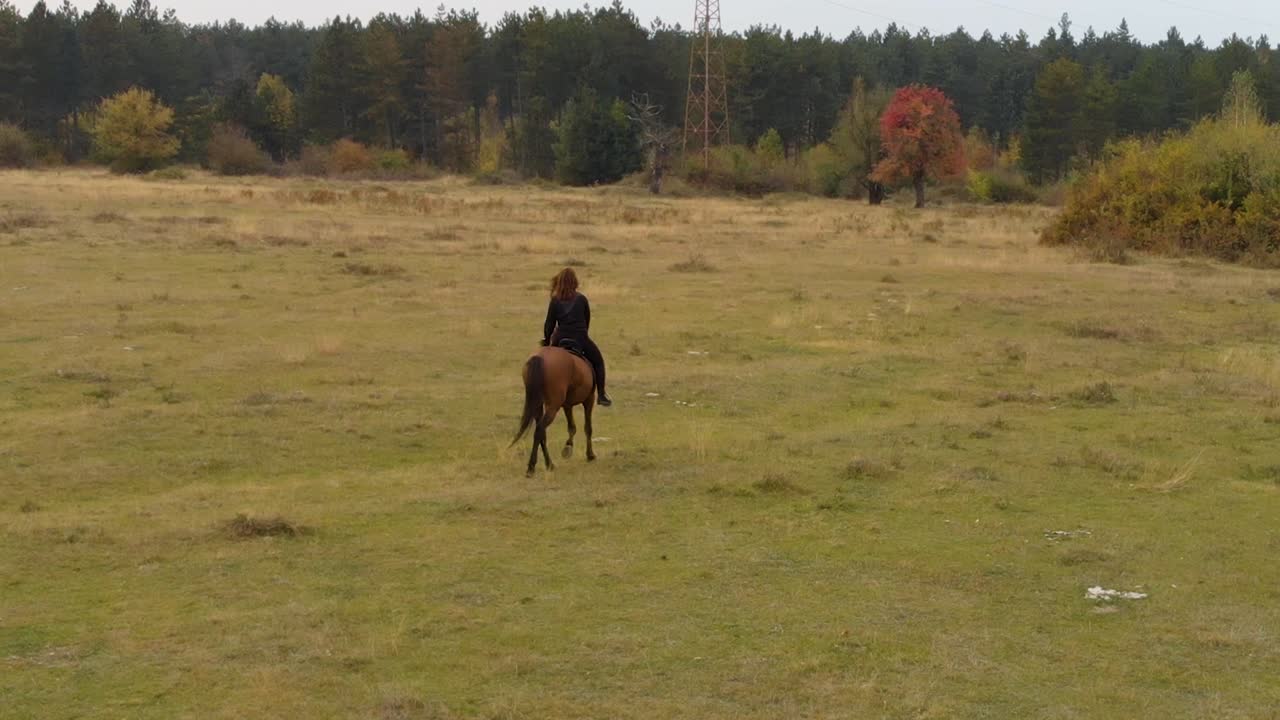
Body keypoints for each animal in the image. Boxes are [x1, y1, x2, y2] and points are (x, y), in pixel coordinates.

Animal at [511, 343, 597, 476]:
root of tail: (539, 357)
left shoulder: (567, 405)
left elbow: (572, 427)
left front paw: (567, 448)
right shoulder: (589, 399)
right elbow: (588, 428)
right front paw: (590, 455)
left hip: (539, 405)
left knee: (542, 432)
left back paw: (549, 464)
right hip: (553, 406)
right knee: (540, 429)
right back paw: (531, 467)